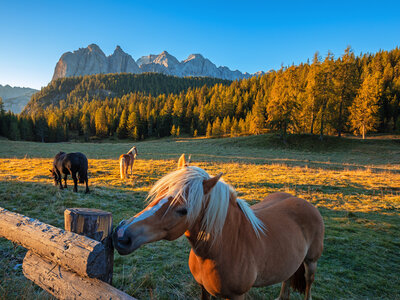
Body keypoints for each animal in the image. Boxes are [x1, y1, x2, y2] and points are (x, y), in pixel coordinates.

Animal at [111, 155, 324, 300]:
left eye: (183, 210)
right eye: (159, 195)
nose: (121, 235)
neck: (223, 248)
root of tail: (304, 202)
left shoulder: (237, 296)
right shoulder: (203, 288)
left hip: (311, 262)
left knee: (309, 283)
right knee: (287, 280)